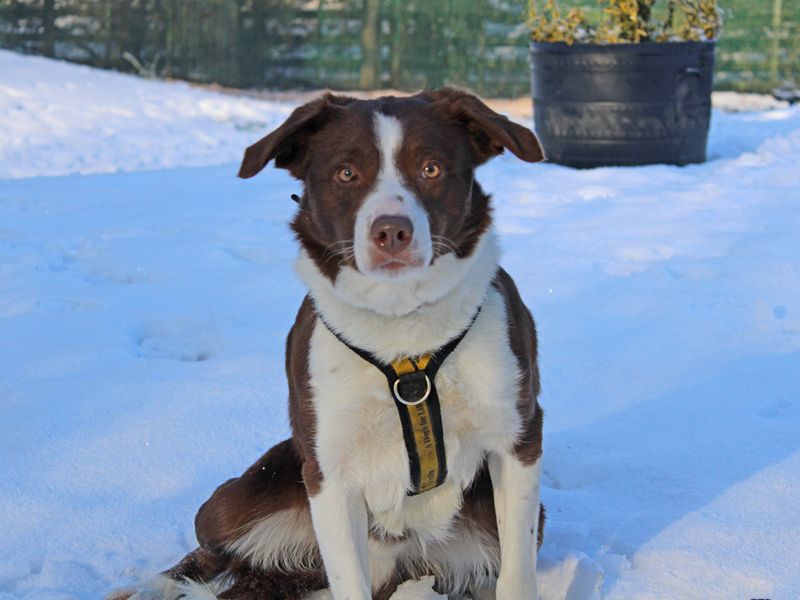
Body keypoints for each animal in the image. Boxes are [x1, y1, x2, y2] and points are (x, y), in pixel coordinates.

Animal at [115, 88, 548, 600]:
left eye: (431, 168)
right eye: (346, 173)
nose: (391, 232)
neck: (402, 332)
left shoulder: (518, 440)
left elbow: (516, 572)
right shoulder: (328, 473)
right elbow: (348, 580)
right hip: (241, 495)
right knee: (210, 552)